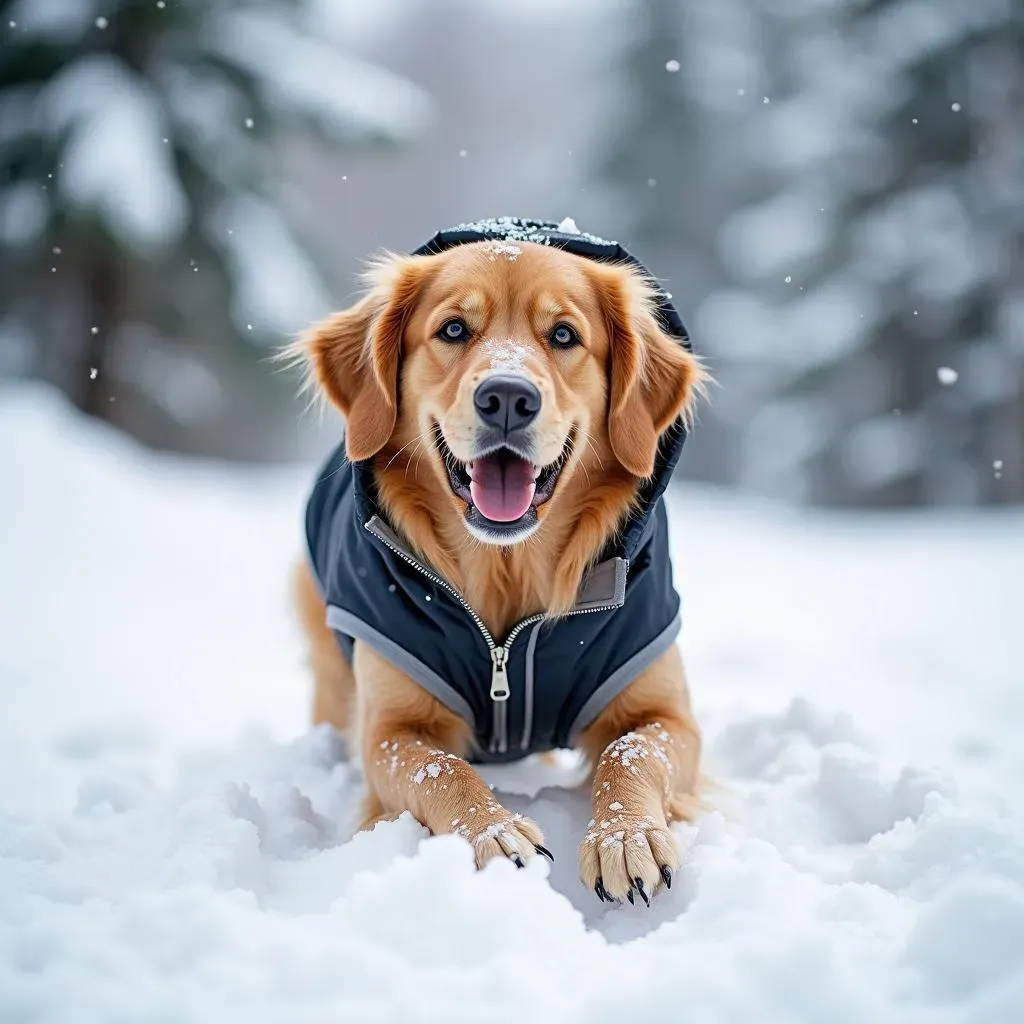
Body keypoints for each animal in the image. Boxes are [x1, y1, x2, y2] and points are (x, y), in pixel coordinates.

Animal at [288, 218, 704, 905]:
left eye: (563, 335)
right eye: (454, 329)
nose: (507, 397)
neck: (506, 572)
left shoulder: (664, 710)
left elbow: (631, 754)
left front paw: (626, 837)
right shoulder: (389, 730)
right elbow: (440, 767)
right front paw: (496, 832)